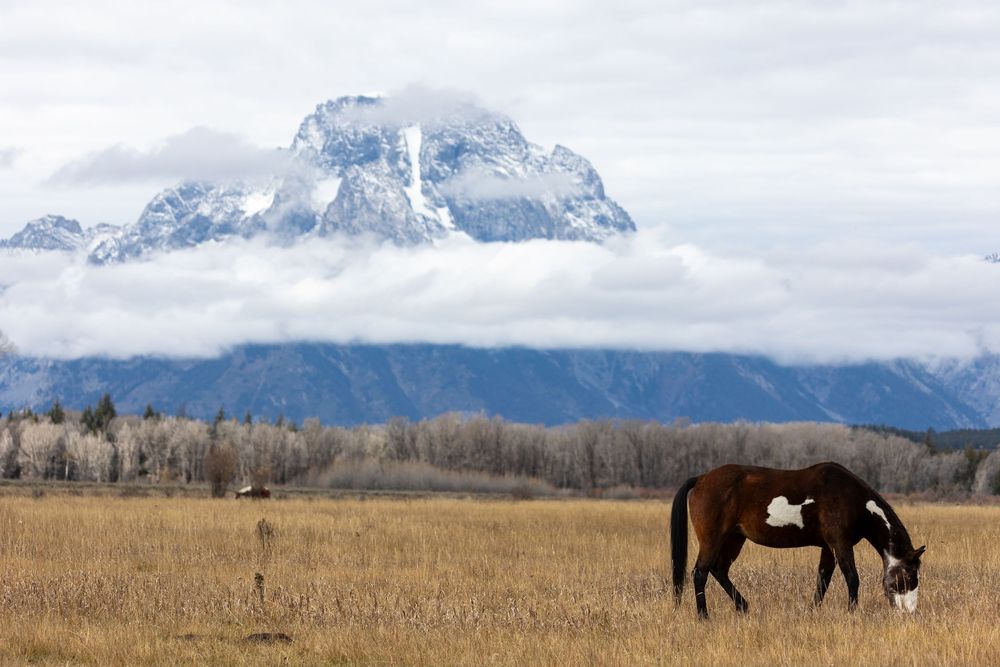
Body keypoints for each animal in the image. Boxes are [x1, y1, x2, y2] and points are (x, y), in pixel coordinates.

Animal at [670, 462, 925, 619]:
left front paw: (813, 611)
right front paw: (851, 612)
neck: (852, 499)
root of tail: (701, 478)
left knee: (719, 570)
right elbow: (852, 577)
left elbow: (823, 579)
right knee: (700, 572)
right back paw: (704, 616)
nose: (910, 612)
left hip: (734, 539)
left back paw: (743, 607)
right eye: (909, 574)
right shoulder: (840, 543)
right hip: (713, 539)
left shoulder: (828, 547)